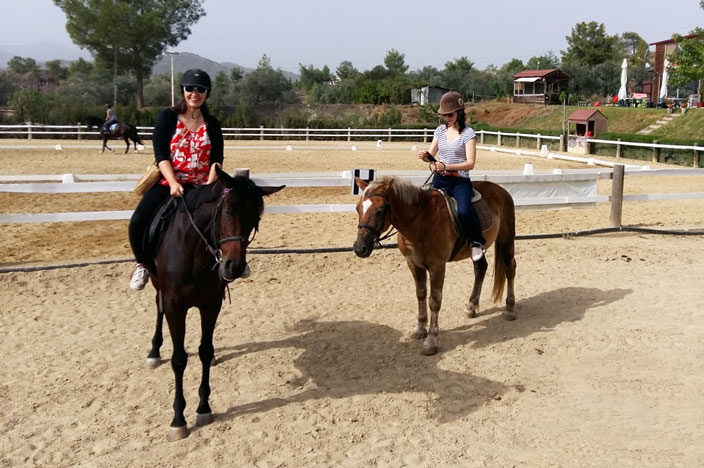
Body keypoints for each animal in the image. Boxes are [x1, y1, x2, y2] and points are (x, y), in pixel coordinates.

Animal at [143, 167, 284, 438]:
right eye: (228, 211)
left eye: (255, 219)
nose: (234, 267)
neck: (195, 255)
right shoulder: (175, 306)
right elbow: (179, 359)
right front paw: (178, 419)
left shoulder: (211, 304)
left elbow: (205, 352)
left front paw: (203, 408)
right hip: (157, 284)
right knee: (158, 307)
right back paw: (154, 351)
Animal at [352, 177, 516, 356]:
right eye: (357, 208)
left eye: (380, 210)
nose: (359, 248)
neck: (421, 220)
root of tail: (501, 190)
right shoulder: (414, 264)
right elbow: (420, 295)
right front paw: (420, 329)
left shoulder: (437, 266)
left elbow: (434, 301)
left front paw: (431, 341)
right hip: (477, 251)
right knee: (480, 269)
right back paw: (471, 307)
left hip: (506, 239)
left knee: (510, 269)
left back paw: (509, 308)